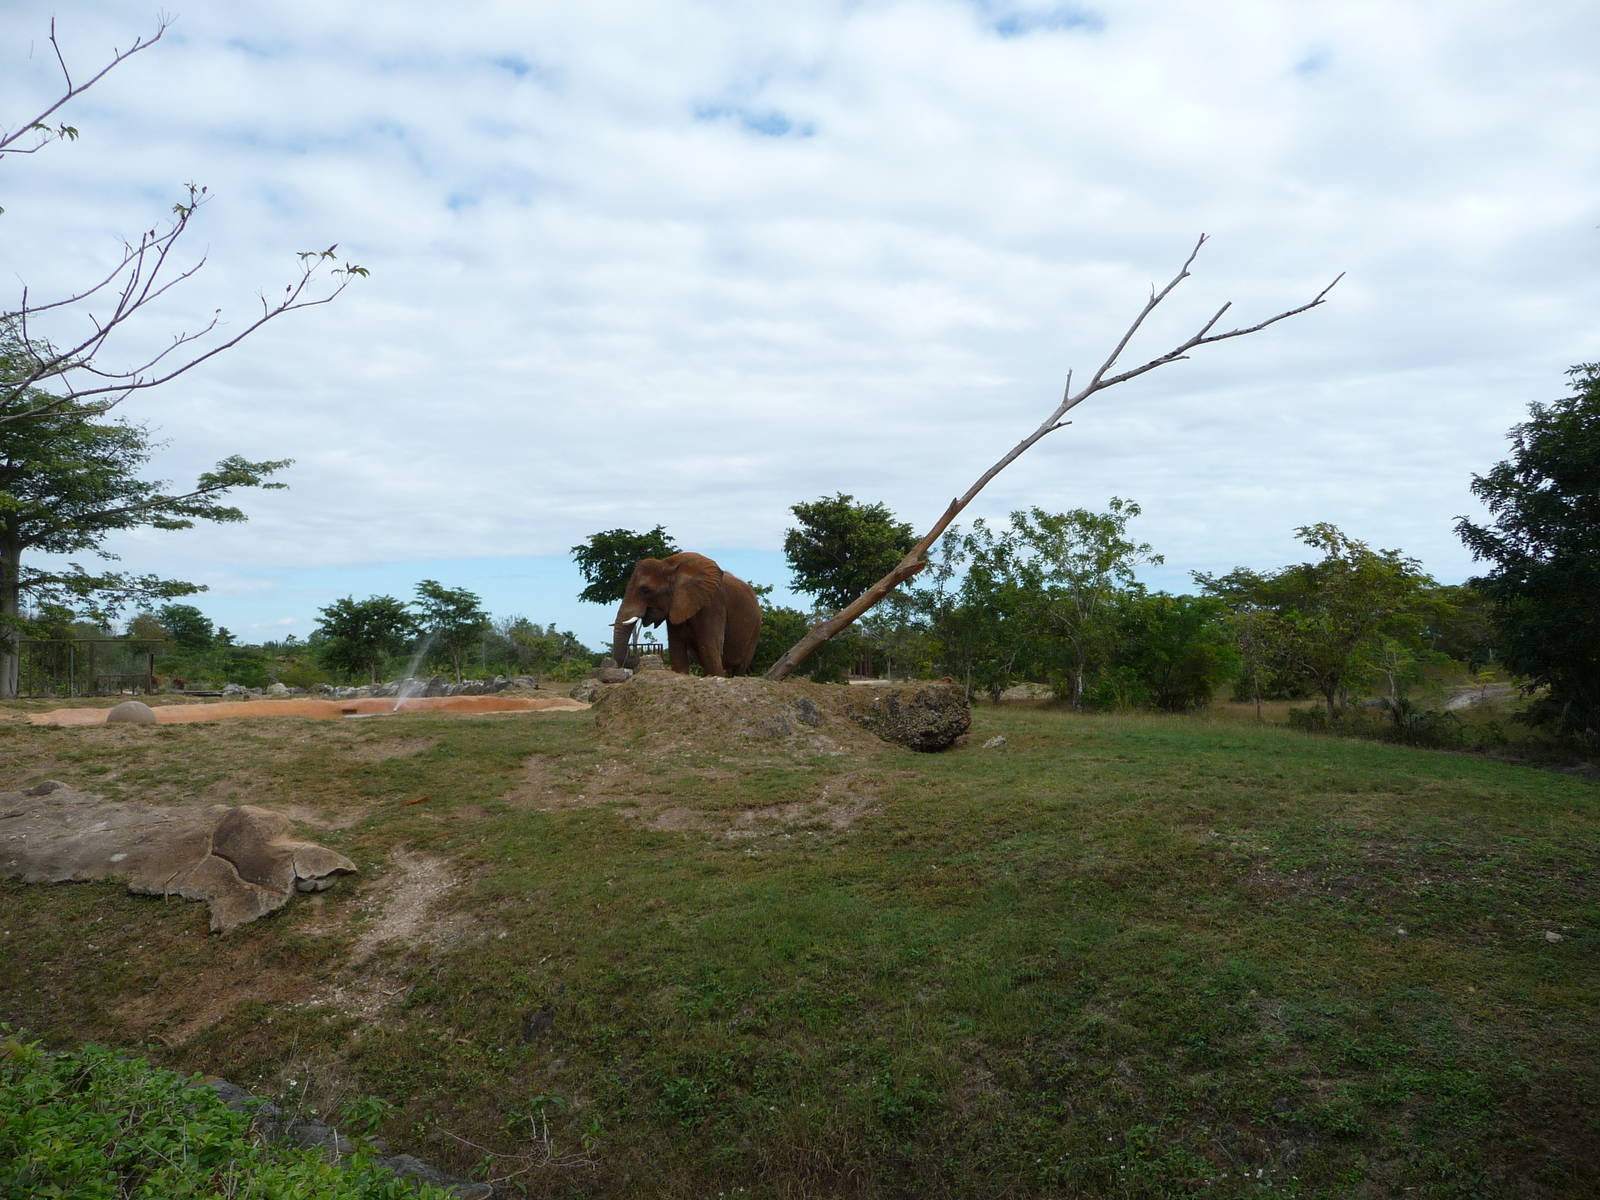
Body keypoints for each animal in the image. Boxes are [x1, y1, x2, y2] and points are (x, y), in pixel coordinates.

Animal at [611, 552, 762, 677]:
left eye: (645, 590)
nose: (635, 657)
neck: (668, 565)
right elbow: (677, 652)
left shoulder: (712, 604)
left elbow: (709, 649)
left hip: (756, 628)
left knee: (740, 667)